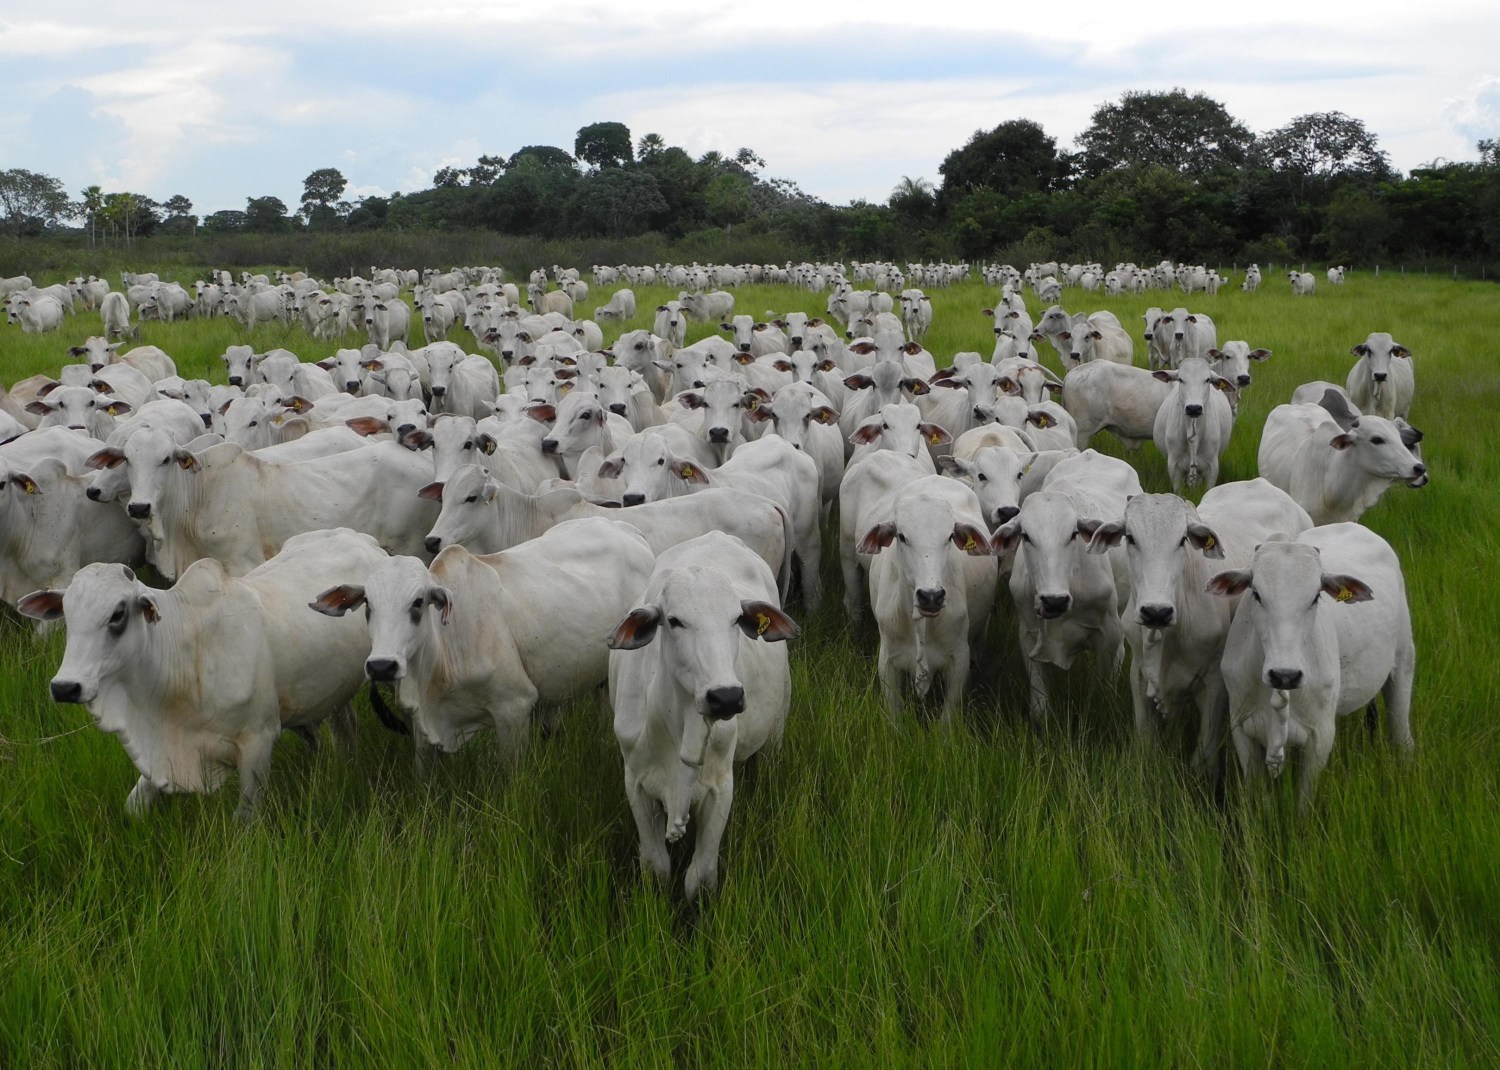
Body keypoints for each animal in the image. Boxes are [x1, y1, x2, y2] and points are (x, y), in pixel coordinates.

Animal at [606, 531, 804, 894]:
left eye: (736, 619)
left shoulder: (720, 788)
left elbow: (699, 877)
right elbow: (656, 866)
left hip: (776, 732)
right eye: (674, 621)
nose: (725, 697)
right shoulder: (636, 783)